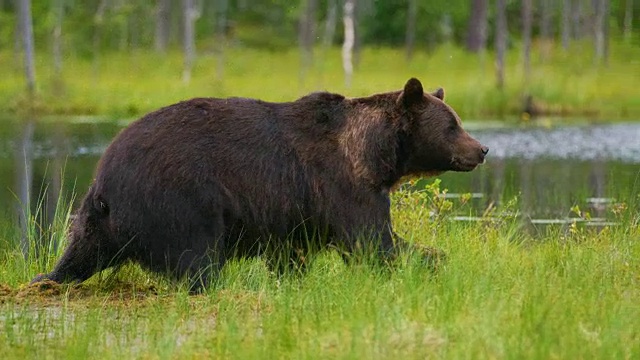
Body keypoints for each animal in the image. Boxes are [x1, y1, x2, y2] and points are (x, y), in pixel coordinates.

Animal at [31, 77, 484, 292]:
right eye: (452, 125)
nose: (482, 149)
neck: (374, 155)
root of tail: (106, 176)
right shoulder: (341, 184)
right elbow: (371, 241)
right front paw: (433, 259)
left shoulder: (297, 210)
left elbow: (292, 254)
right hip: (182, 198)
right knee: (197, 259)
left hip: (98, 217)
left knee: (81, 253)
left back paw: (46, 279)